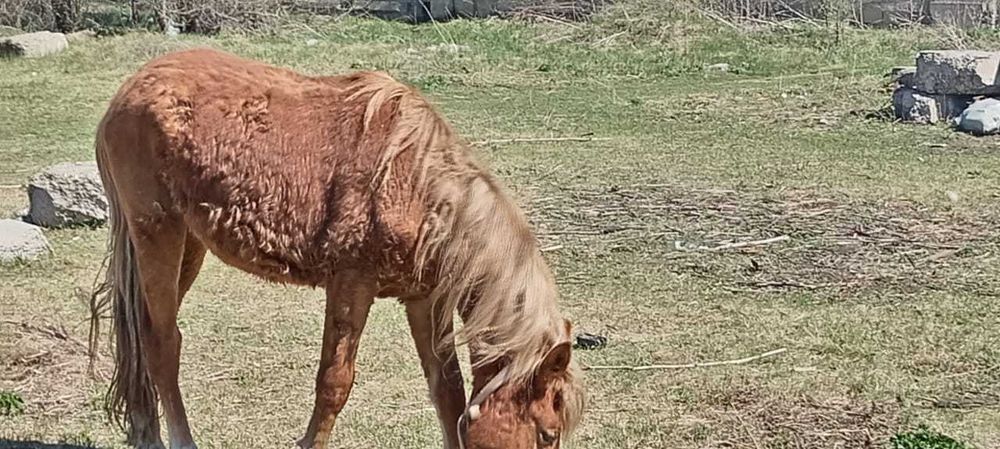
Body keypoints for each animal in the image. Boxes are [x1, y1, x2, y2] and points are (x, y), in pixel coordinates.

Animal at [87, 48, 584, 449]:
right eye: (548, 434)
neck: (418, 186)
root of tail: (128, 90)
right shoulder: (351, 285)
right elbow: (334, 384)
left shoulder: (424, 300)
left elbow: (447, 390)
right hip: (158, 234)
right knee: (161, 343)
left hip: (188, 245)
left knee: (142, 336)